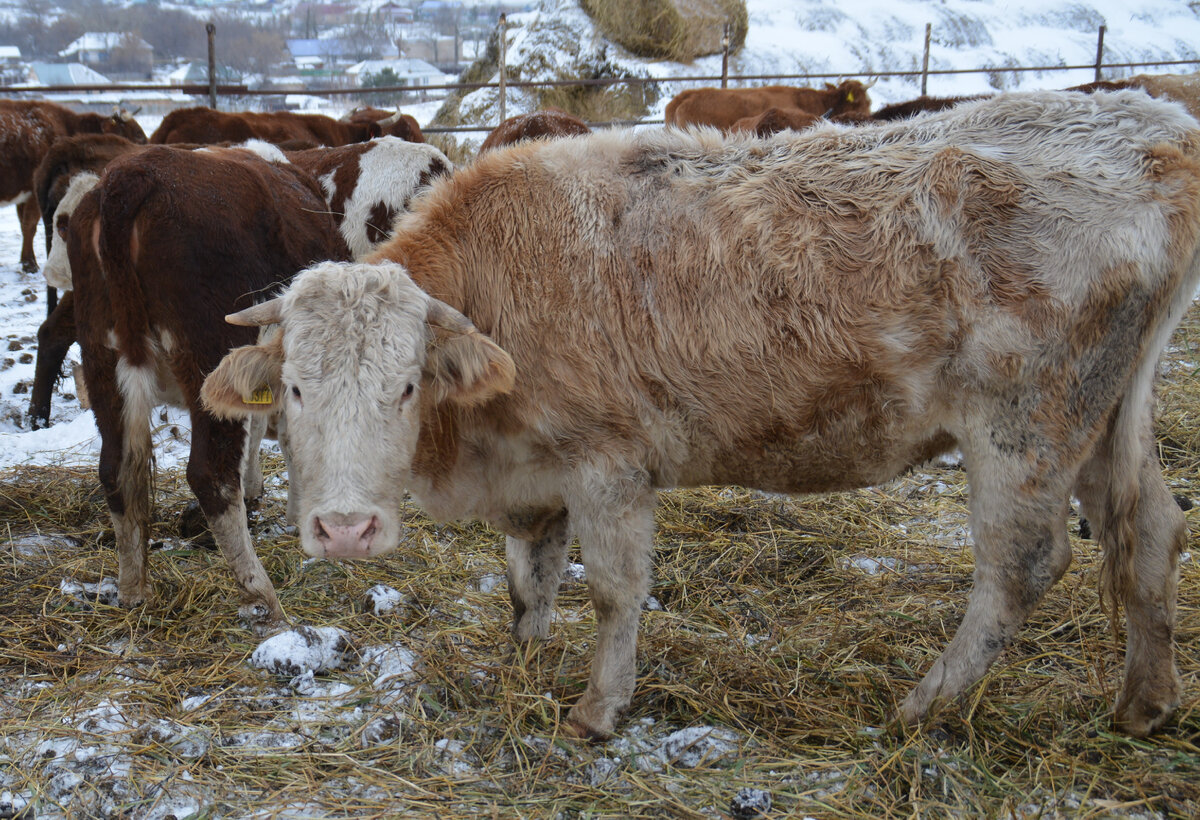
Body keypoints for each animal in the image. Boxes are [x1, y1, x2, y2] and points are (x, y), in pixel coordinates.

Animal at [69, 144, 350, 633]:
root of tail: (131, 174)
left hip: (102, 359)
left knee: (117, 469)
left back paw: (134, 590)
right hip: (210, 357)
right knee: (210, 475)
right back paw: (263, 598)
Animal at [204, 88, 1200, 739]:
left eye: (405, 384)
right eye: (295, 388)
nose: (345, 529)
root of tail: (1153, 125)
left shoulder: (608, 465)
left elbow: (612, 590)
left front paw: (596, 709)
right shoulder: (536, 475)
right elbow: (530, 583)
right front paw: (521, 671)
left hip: (1026, 424)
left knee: (1022, 565)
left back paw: (925, 705)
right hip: (1106, 414)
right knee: (1148, 527)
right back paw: (1144, 703)